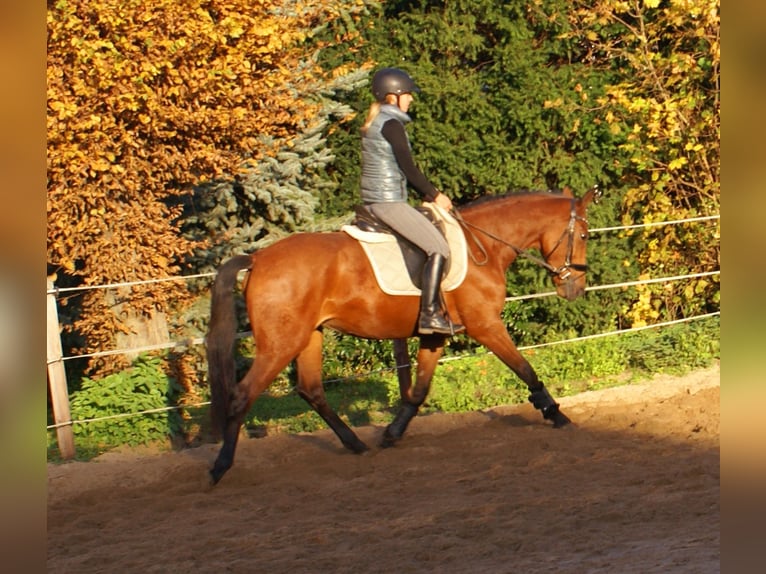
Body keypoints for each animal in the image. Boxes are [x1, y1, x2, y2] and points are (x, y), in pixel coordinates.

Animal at [206, 186, 600, 484]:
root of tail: (257, 259)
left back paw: (355, 444)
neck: (482, 246)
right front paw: (556, 414)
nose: (576, 288)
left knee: (311, 389)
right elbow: (525, 369)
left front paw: (392, 433)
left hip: (310, 335)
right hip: (281, 343)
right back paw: (220, 467)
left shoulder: (434, 335)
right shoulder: (486, 325)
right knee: (242, 395)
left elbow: (418, 390)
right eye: (582, 235)